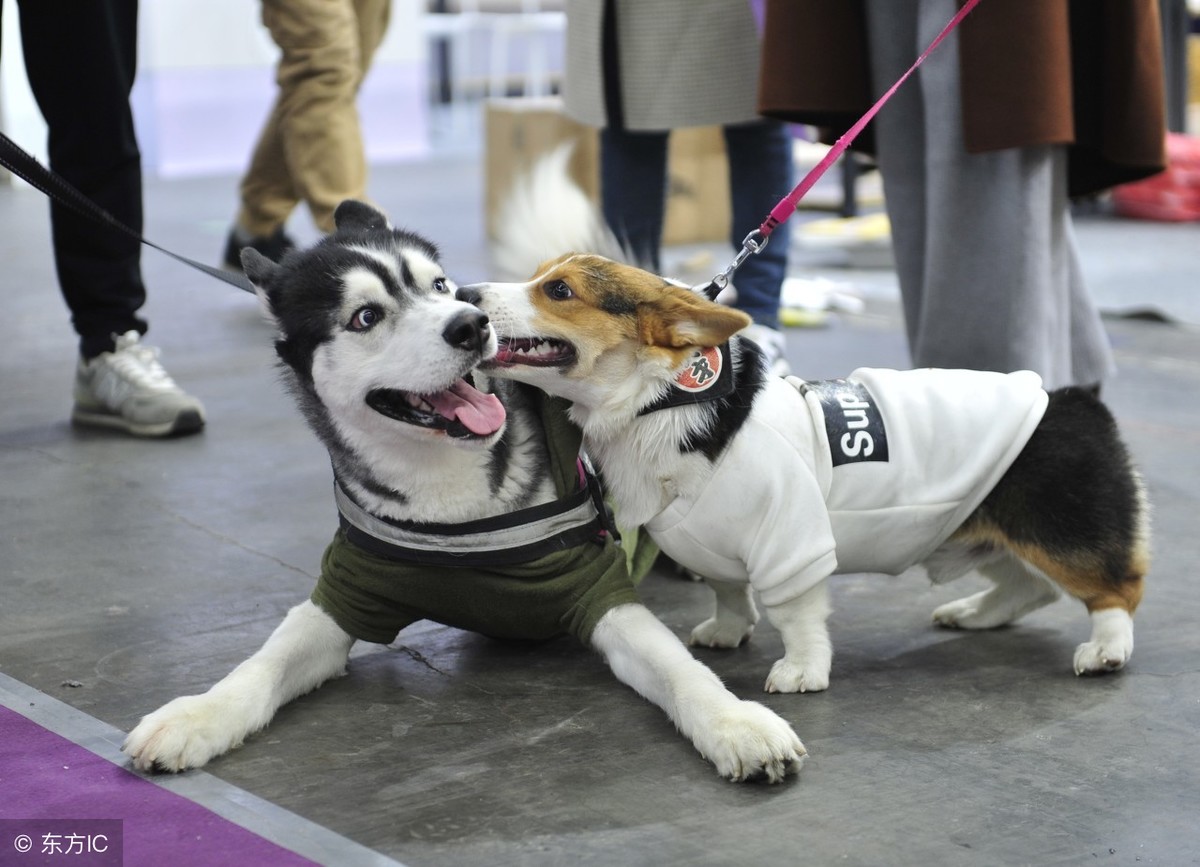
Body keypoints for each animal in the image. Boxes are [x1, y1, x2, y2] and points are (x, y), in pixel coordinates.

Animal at [124, 199, 806, 778]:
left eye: (438, 285)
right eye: (366, 316)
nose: (471, 324)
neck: (451, 505)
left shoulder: (601, 593)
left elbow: (679, 671)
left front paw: (736, 724)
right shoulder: (342, 596)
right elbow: (259, 666)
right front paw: (194, 716)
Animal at [460, 171, 1152, 691]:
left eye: (558, 290)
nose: (463, 292)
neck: (656, 403)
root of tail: (1072, 400)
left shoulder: (792, 541)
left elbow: (796, 617)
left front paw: (801, 671)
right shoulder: (713, 549)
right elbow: (729, 593)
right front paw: (727, 630)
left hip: (1062, 532)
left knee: (1114, 589)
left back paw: (1107, 650)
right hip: (988, 531)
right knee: (1026, 588)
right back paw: (974, 613)